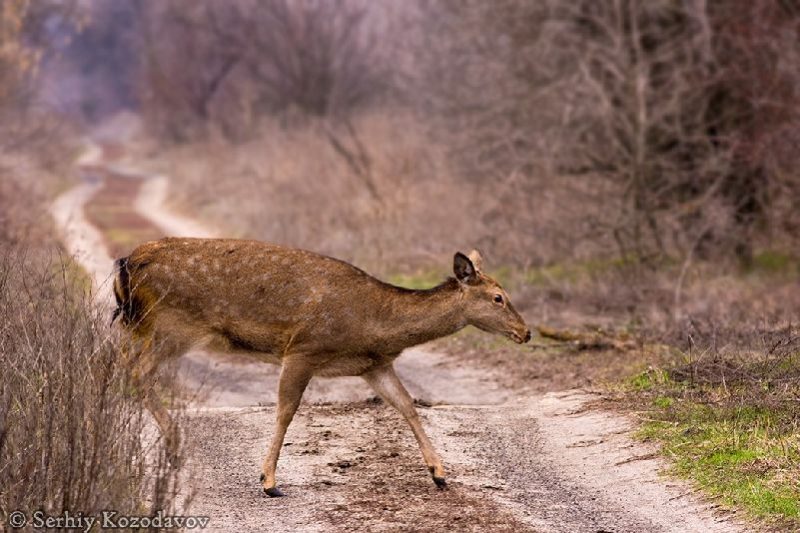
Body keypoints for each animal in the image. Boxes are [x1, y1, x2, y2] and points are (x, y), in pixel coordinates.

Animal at [109, 237, 528, 494]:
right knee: (134, 371)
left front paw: (439, 474)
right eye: (498, 297)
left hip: (145, 327)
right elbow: (286, 410)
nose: (525, 333)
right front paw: (269, 481)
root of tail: (127, 262)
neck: (376, 325)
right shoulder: (304, 348)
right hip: (171, 327)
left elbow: (407, 405)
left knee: (120, 364)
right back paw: (171, 445)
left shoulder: (374, 366)